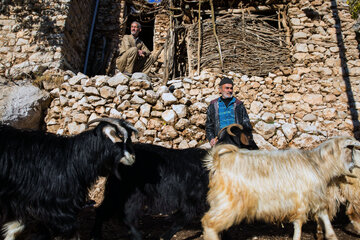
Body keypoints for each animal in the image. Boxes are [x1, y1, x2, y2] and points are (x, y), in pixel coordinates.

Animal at [0, 118, 137, 240]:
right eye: (119, 139)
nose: (133, 157)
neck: (73, 161)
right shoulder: (57, 207)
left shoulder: (17, 198)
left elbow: (15, 226)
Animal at [91, 124, 258, 240]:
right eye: (249, 137)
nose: (257, 148)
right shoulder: (192, 200)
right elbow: (183, 219)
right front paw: (164, 236)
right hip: (131, 195)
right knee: (126, 217)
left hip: (117, 193)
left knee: (102, 211)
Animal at [201, 136, 360, 239]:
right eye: (351, 149)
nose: (355, 168)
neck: (317, 164)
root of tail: (216, 163)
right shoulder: (301, 200)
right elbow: (298, 223)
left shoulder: (315, 199)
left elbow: (324, 217)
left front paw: (332, 236)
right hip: (228, 203)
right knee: (209, 223)